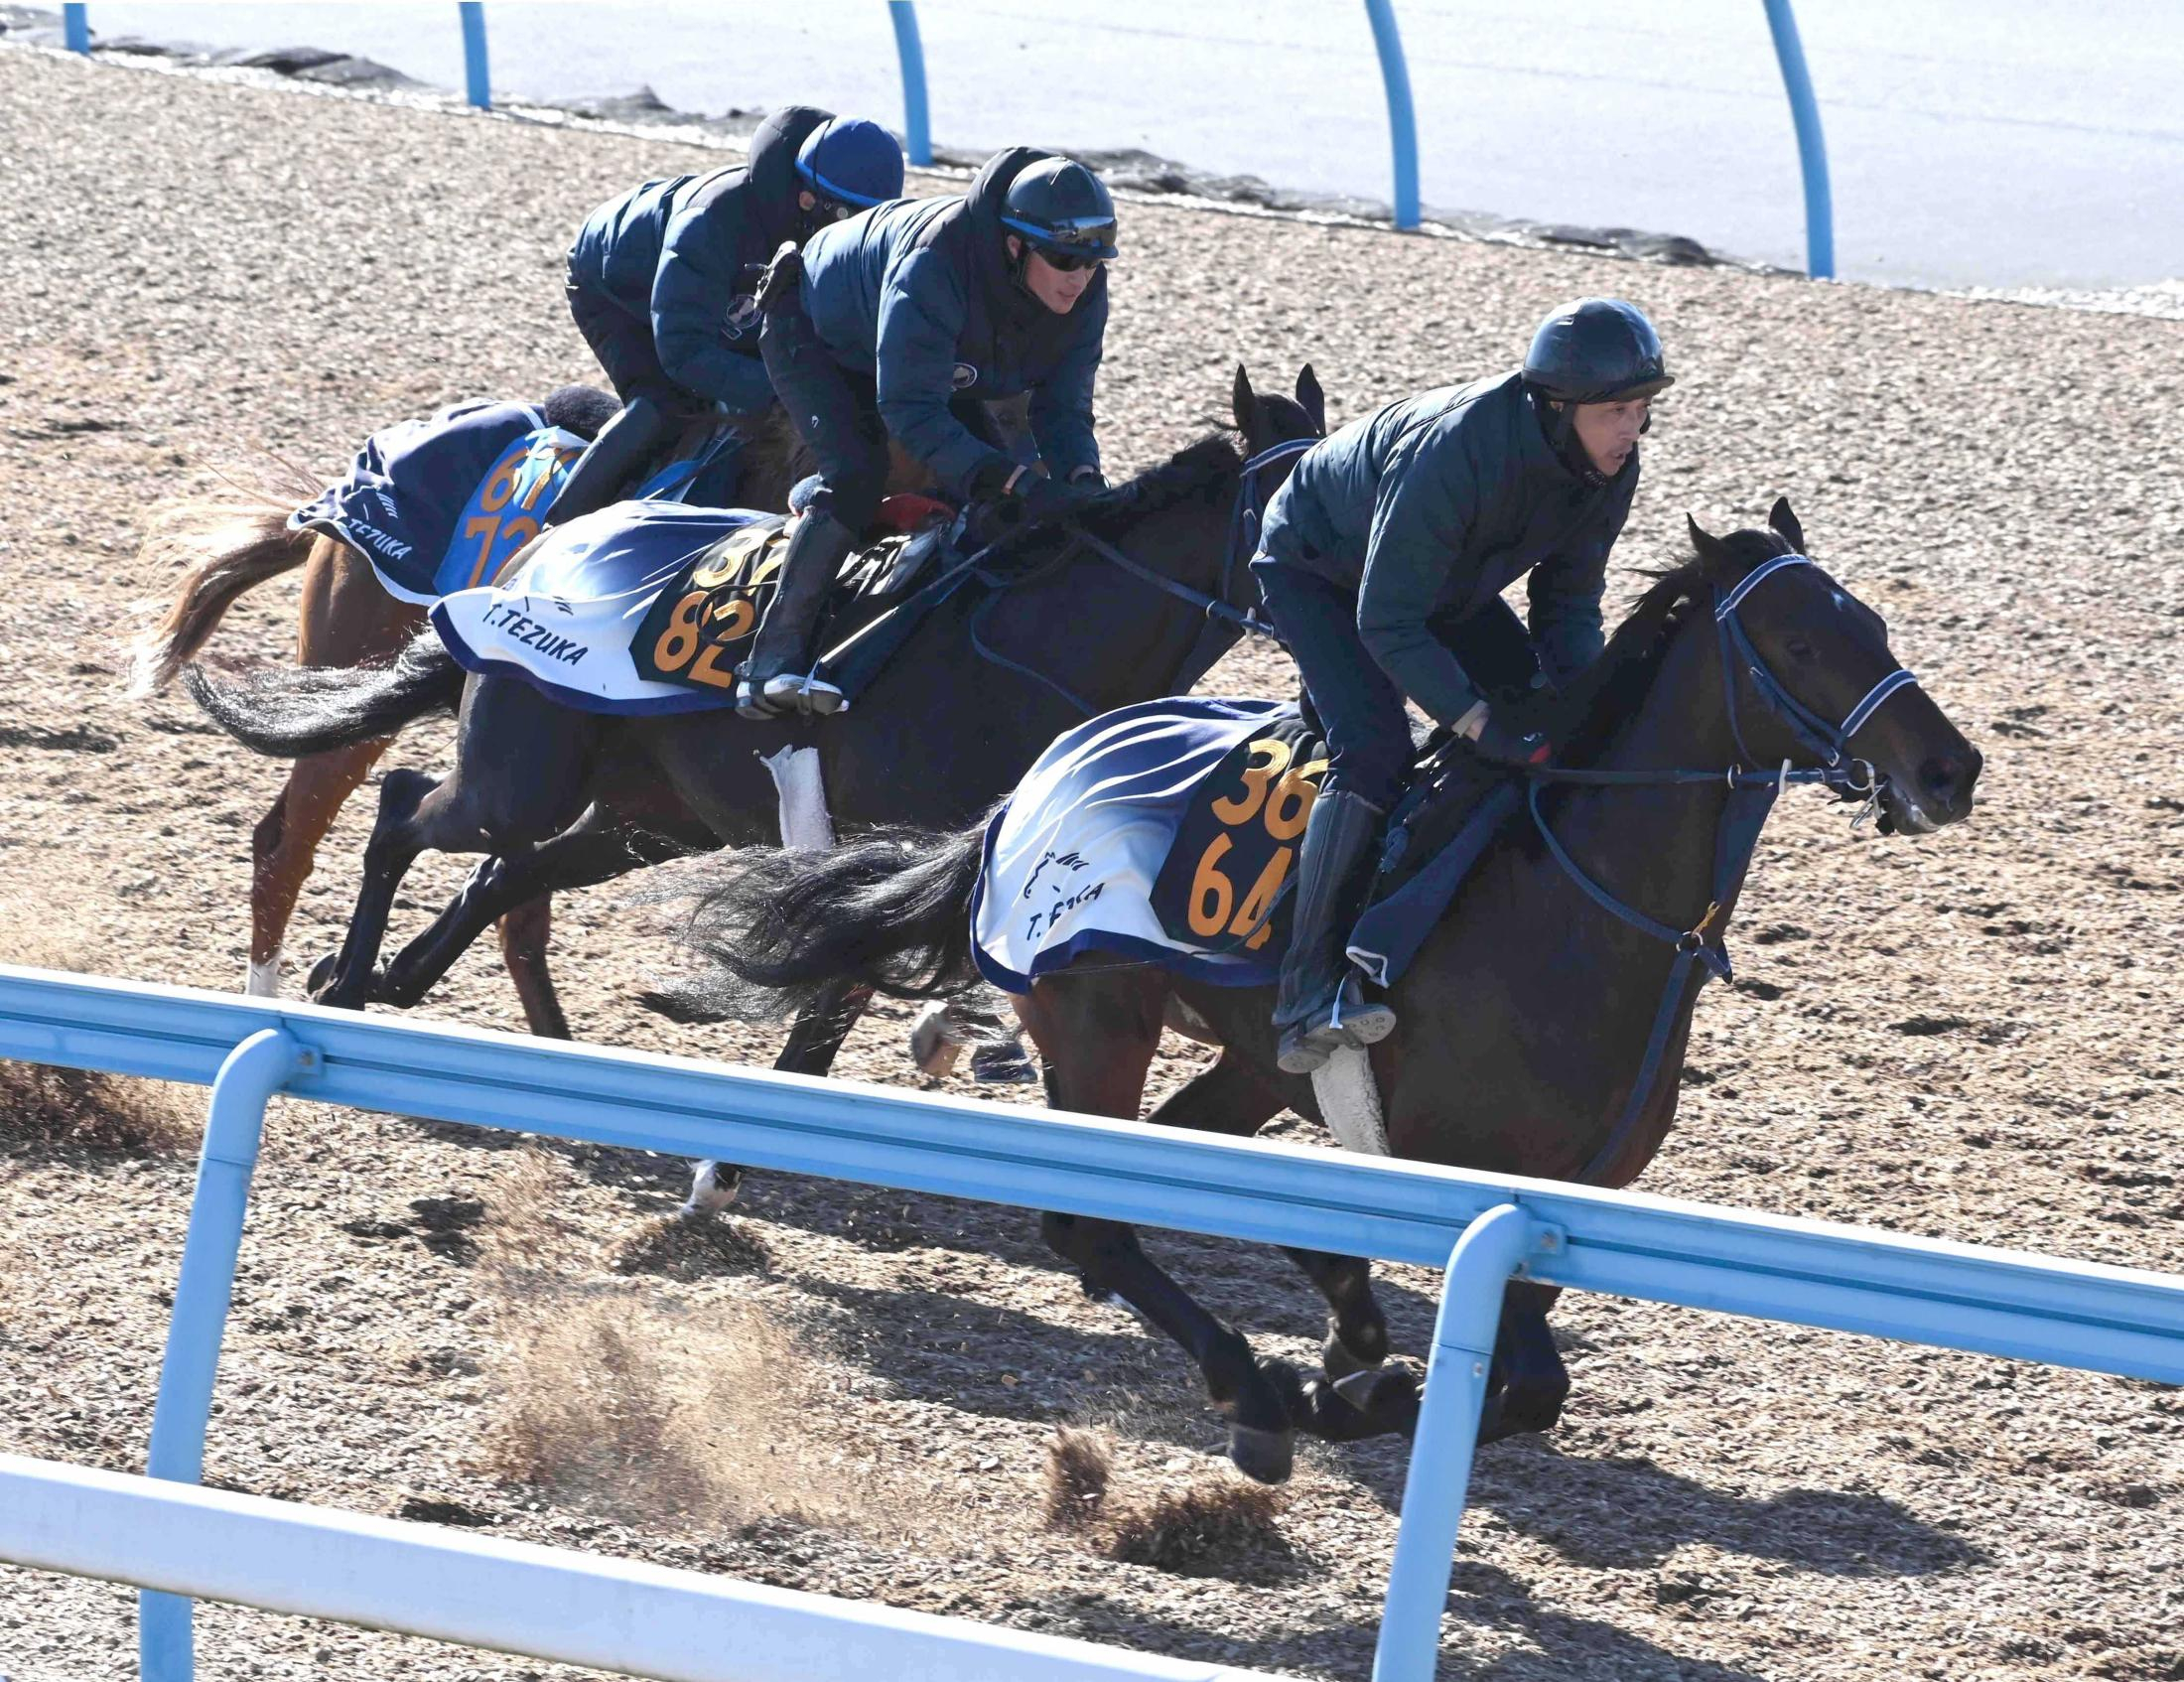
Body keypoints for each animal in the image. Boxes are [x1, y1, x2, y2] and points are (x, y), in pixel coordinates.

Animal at [646, 502, 1982, 1485]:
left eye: (1871, 621)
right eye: (1801, 642)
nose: (1947, 766)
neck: (1580, 910)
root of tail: (1031, 782)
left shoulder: (1564, 1202)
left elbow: (1528, 1384)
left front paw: (1354, 1368)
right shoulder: (1432, 1155)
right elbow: (1442, 1338)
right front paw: (1336, 1378)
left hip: (1238, 1056)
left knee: (1176, 1162)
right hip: (1099, 1016)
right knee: (1091, 1221)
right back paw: (1249, 1388)